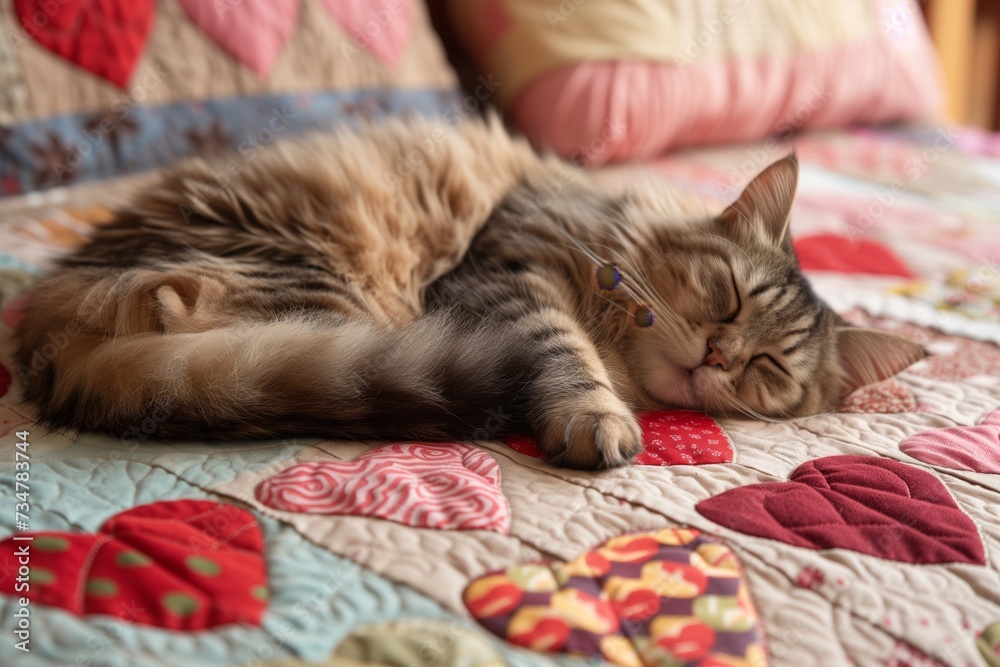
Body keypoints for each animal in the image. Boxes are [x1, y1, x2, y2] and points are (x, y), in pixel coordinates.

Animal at [13, 116, 920, 470]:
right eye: (727, 296)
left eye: (769, 370)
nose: (719, 355)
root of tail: (47, 344)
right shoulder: (512, 269)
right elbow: (568, 354)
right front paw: (595, 417)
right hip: (325, 284)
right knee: (179, 316)